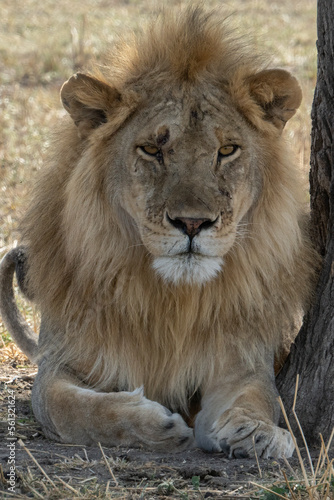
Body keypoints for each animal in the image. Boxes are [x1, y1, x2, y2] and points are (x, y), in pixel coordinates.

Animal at [0, 6, 318, 458]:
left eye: (227, 150)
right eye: (152, 149)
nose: (192, 223)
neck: (172, 299)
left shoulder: (242, 360)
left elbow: (256, 395)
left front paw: (255, 432)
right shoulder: (61, 362)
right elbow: (74, 407)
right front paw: (153, 424)